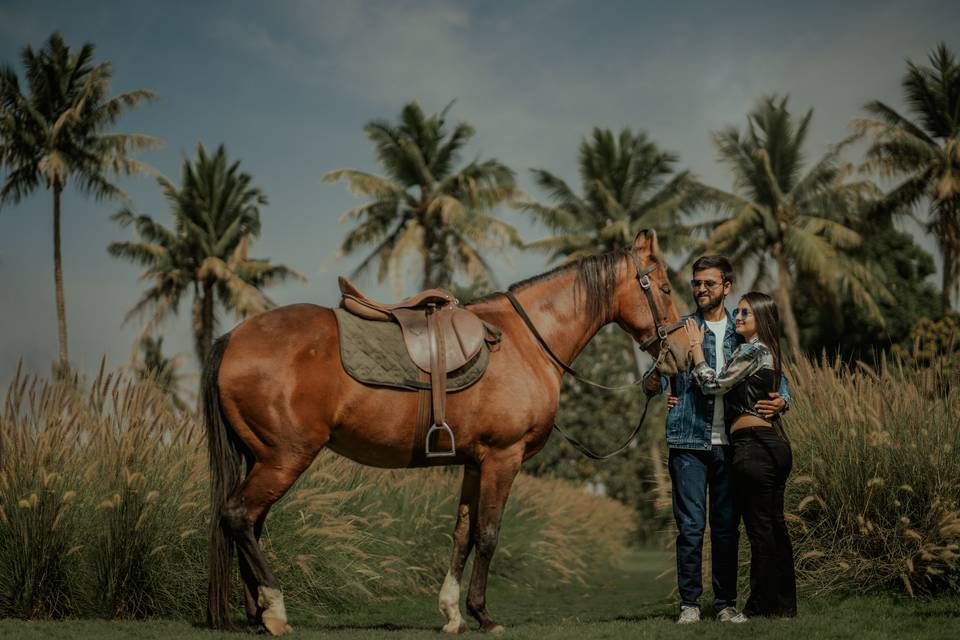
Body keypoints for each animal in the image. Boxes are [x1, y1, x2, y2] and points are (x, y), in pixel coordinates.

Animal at [208, 230, 688, 636]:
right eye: (665, 289)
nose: (684, 353)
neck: (526, 342)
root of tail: (233, 337)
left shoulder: (475, 463)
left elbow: (464, 534)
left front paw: (453, 612)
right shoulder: (502, 457)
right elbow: (489, 534)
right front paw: (483, 614)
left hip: (263, 459)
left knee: (251, 523)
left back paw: (256, 612)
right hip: (285, 458)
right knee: (238, 516)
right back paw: (275, 608)